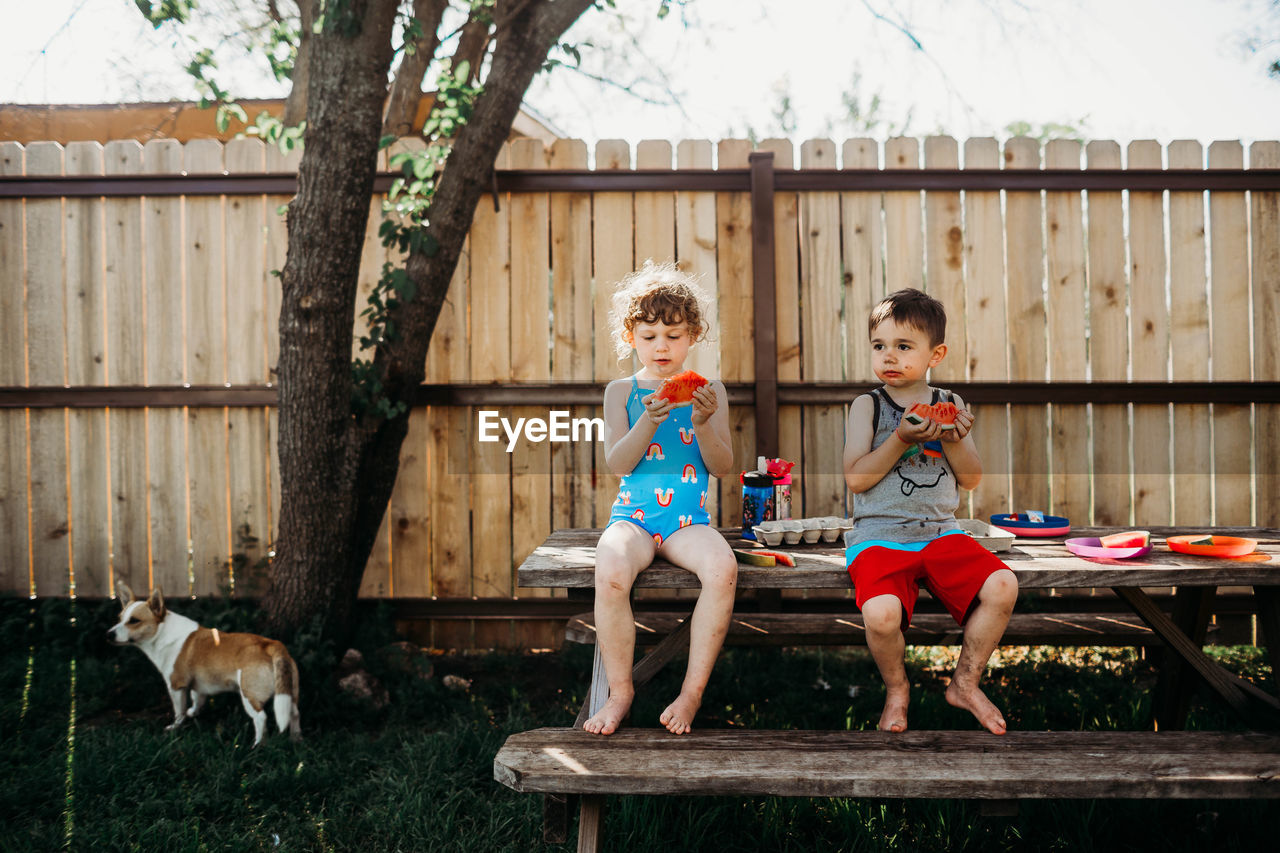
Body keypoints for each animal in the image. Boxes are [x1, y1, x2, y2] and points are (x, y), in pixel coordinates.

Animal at [106, 581, 300, 742]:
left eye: (134, 621)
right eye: (119, 618)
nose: (108, 634)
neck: (162, 632)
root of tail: (271, 644)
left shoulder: (176, 686)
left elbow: (179, 711)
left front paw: (176, 726)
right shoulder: (198, 685)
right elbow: (197, 699)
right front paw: (194, 712)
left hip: (249, 695)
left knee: (261, 718)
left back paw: (258, 745)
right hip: (289, 693)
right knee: (294, 713)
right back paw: (296, 740)